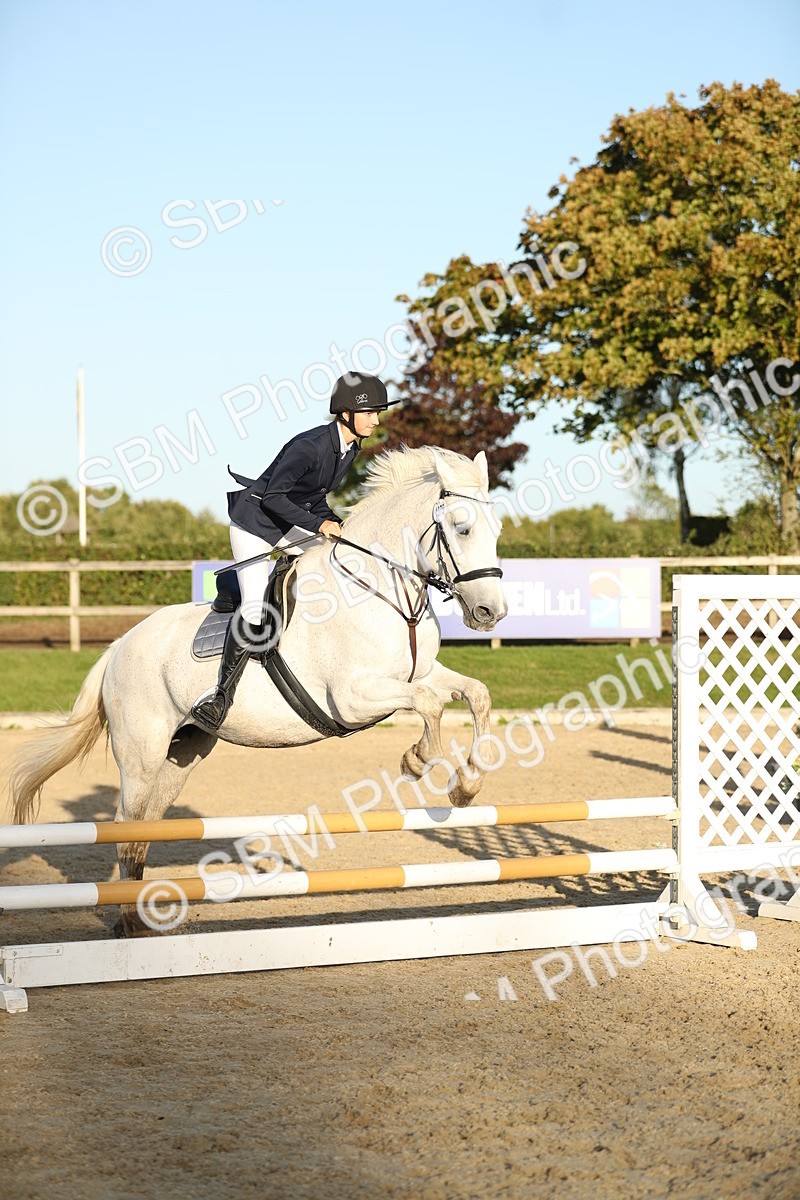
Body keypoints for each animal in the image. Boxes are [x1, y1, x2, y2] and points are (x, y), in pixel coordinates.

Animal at [9, 445, 508, 935]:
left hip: (182, 752)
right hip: (141, 752)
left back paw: (140, 919)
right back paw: (130, 924)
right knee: (126, 827)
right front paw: (419, 760)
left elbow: (474, 694)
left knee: (146, 826)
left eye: (497, 528)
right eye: (461, 528)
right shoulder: (353, 697)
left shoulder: (417, 675)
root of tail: (119, 645)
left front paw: (467, 785)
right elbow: (431, 706)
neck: (379, 588)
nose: (492, 613)